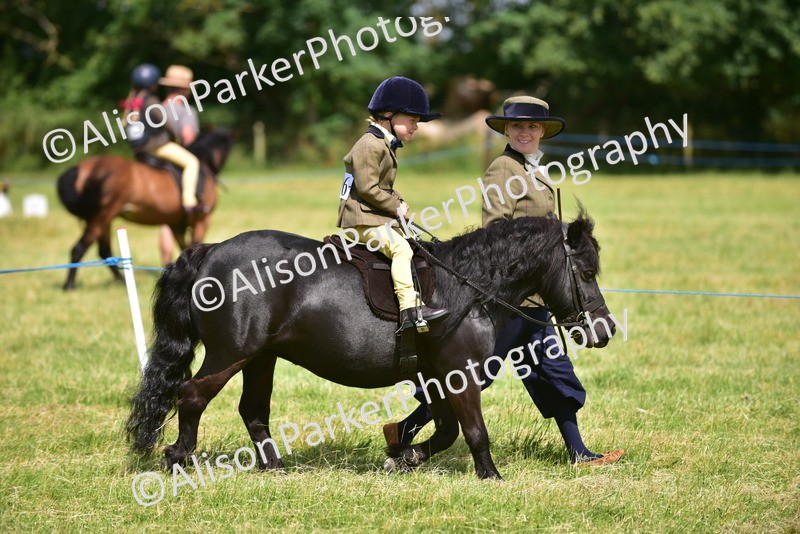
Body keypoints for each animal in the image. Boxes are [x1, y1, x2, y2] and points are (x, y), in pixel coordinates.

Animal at [56, 130, 233, 290]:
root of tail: (84, 167)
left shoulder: (175, 224)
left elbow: (186, 248)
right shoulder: (202, 220)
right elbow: (195, 244)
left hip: (104, 218)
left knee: (104, 251)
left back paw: (121, 282)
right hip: (102, 215)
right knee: (79, 248)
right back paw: (69, 285)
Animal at [126, 211, 616, 479]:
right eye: (587, 272)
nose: (605, 329)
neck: (469, 286)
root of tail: (209, 251)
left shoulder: (437, 377)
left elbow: (445, 430)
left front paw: (404, 456)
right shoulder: (460, 374)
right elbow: (474, 430)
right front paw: (490, 475)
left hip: (260, 358)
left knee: (253, 411)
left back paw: (274, 466)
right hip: (232, 353)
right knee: (191, 395)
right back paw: (177, 457)